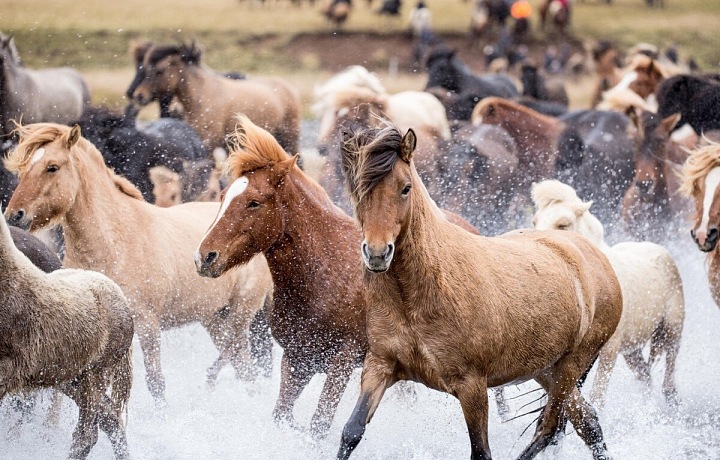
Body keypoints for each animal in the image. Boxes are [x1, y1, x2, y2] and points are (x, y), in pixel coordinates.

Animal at [4, 123, 274, 403]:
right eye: (23, 169)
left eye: (52, 167)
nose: (14, 216)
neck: (114, 242)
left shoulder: (147, 325)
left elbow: (155, 382)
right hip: (215, 318)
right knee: (244, 368)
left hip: (241, 312)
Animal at [129, 41, 300, 153]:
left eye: (159, 70)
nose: (138, 95)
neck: (202, 96)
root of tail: (289, 88)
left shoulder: (209, 144)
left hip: (289, 138)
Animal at [336, 124, 622, 460]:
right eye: (357, 189)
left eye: (405, 188)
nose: (378, 254)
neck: (416, 296)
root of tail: (599, 258)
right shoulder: (380, 365)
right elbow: (351, 431)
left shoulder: (471, 385)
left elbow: (481, 451)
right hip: (546, 368)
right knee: (587, 422)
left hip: (571, 365)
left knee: (549, 428)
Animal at [532, 179, 685, 409]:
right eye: (535, 221)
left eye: (563, 225)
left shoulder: (608, 351)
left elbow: (597, 396)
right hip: (632, 349)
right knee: (645, 375)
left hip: (672, 329)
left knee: (670, 369)